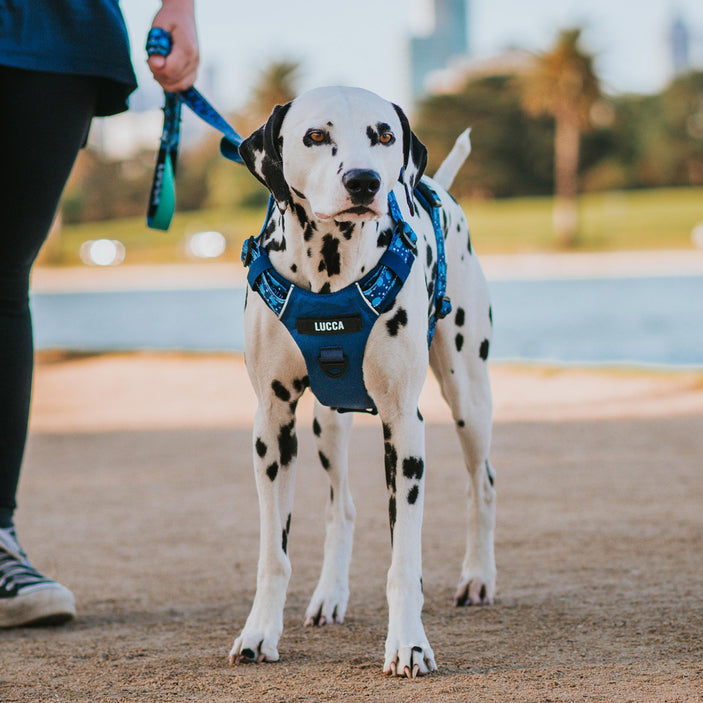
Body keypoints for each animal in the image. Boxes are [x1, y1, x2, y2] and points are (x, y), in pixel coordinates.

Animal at [231, 85, 496, 680]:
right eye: (314, 135)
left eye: (384, 134)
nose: (364, 182)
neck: (331, 277)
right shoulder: (271, 428)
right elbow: (273, 555)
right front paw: (259, 633)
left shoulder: (404, 429)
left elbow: (403, 561)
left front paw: (410, 645)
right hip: (326, 424)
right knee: (342, 508)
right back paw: (330, 595)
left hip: (468, 396)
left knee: (483, 483)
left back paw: (477, 577)